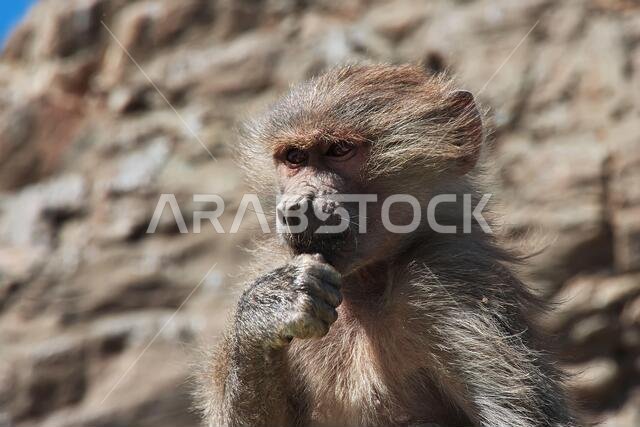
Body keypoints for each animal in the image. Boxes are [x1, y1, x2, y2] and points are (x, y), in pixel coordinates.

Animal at [196, 64, 578, 427]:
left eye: (339, 150)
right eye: (294, 157)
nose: (297, 207)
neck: (365, 284)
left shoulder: (448, 283)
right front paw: (272, 303)